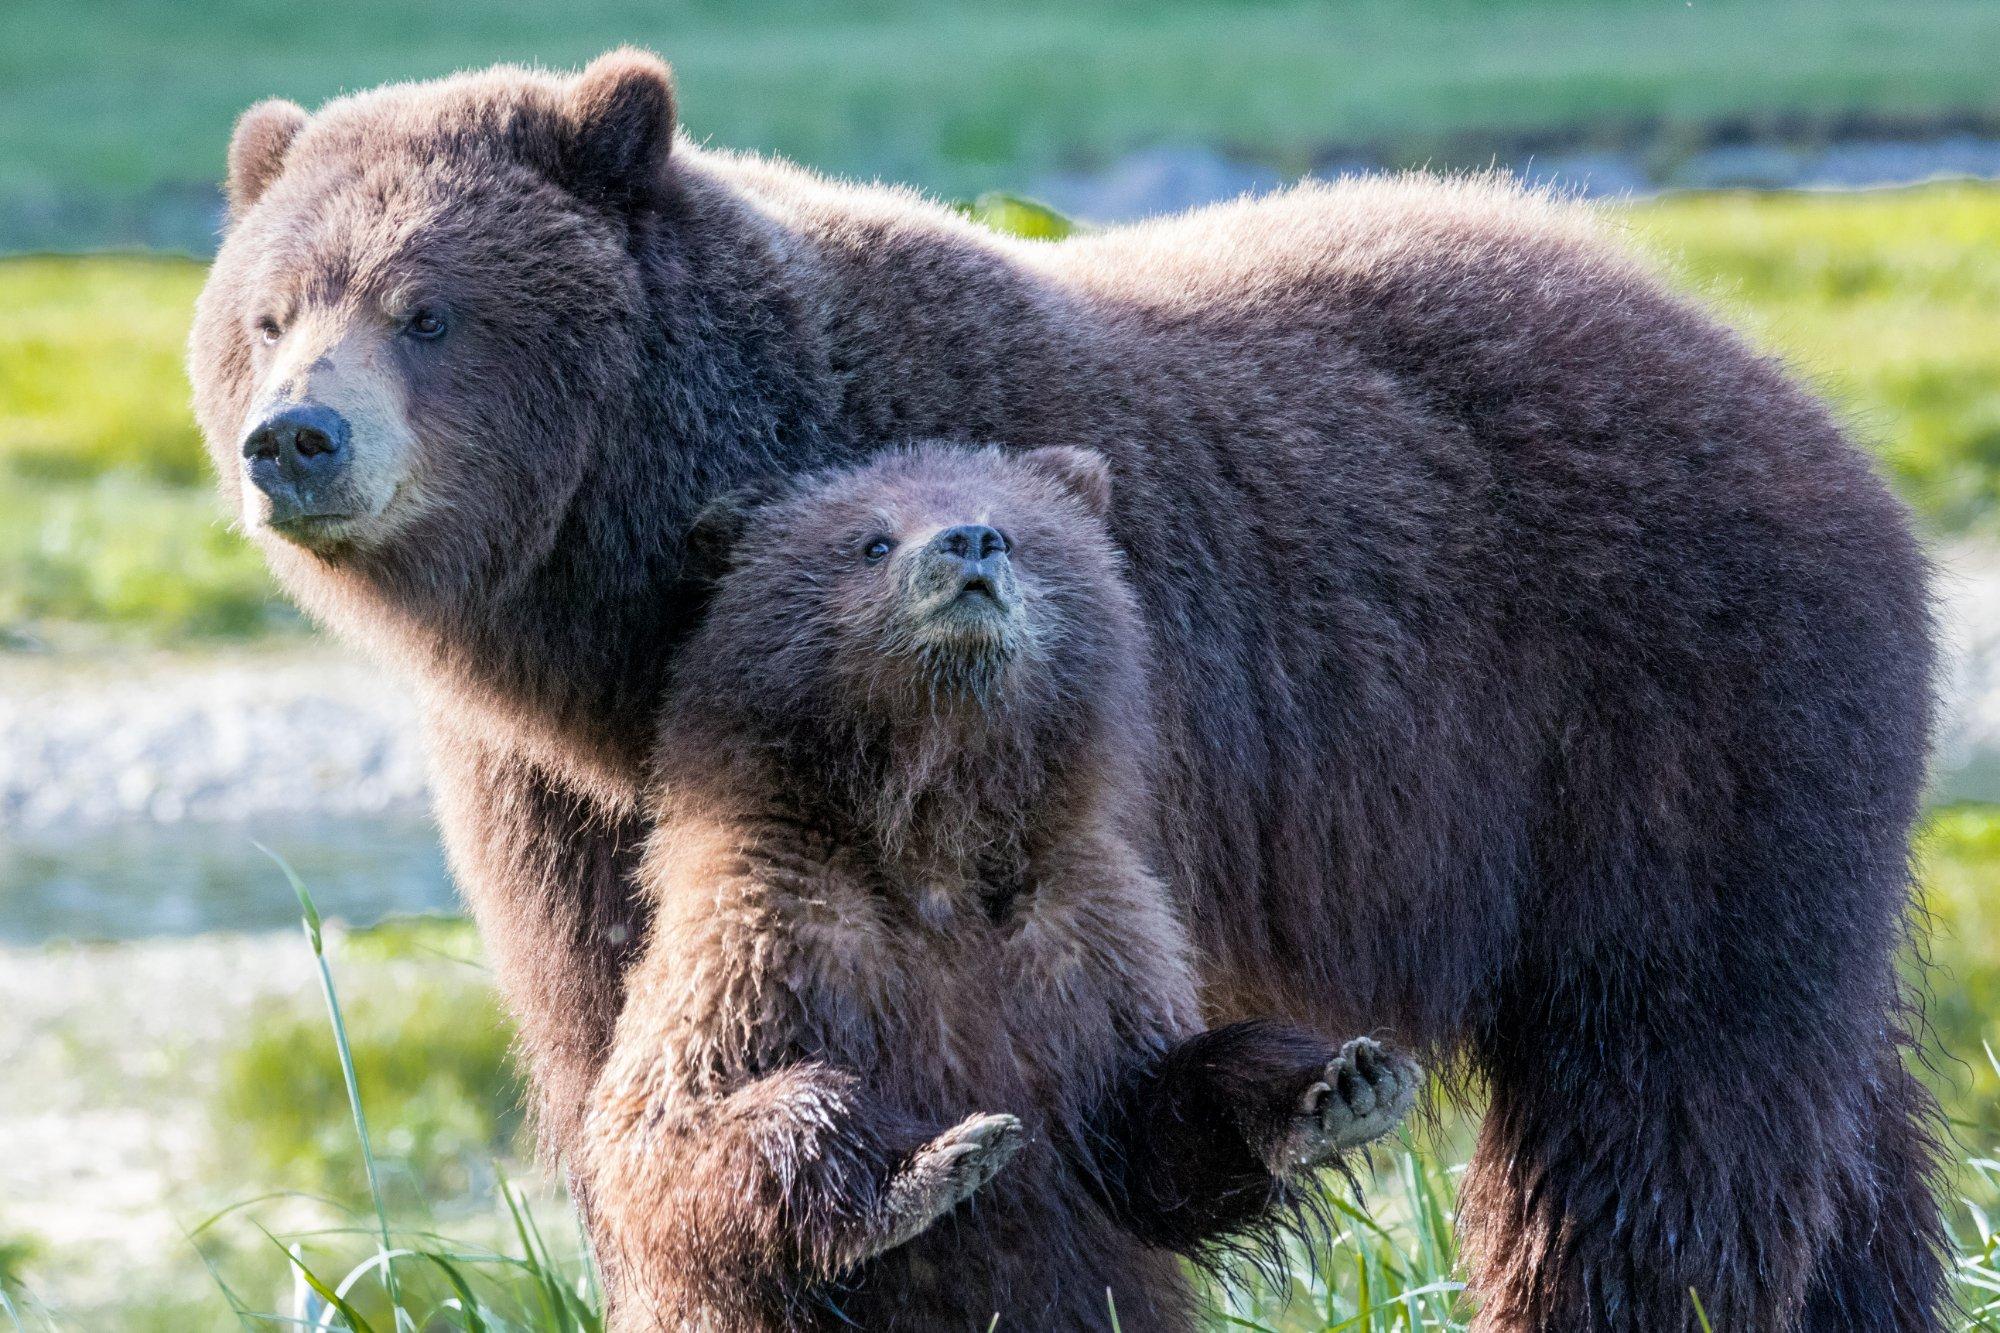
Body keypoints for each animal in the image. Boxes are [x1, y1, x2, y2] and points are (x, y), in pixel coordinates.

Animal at [581, 441, 1419, 1330]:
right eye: (872, 540)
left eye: (1014, 527)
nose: (969, 542)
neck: (935, 845)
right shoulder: (770, 936)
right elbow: (671, 1131)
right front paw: (933, 1160)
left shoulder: (1084, 940)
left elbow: (1145, 1127)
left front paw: (1341, 1087)